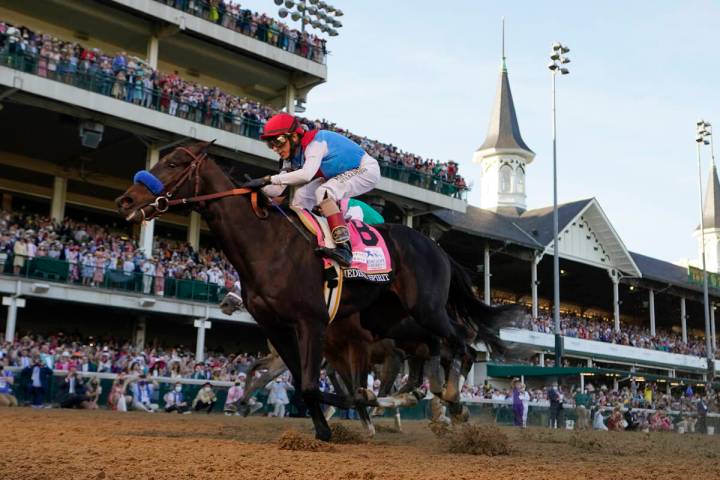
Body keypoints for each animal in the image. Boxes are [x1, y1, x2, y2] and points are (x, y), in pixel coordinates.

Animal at [116, 141, 516, 440]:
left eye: (174, 162)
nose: (126, 200)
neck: (267, 243)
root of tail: (439, 250)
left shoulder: (313, 323)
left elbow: (314, 385)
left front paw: (349, 411)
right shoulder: (281, 328)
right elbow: (300, 381)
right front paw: (326, 425)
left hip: (427, 309)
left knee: (462, 345)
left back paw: (454, 403)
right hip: (392, 321)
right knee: (431, 360)